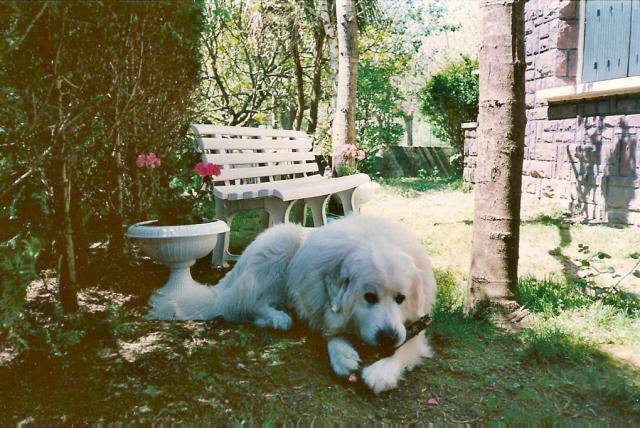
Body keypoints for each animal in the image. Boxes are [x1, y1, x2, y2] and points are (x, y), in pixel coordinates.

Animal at [174, 216, 440, 392]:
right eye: (369, 297)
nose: (387, 337)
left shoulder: (413, 327)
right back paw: (278, 318)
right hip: (280, 249)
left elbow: (404, 346)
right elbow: (331, 332)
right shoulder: (323, 308)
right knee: (248, 304)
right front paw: (343, 356)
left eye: (401, 298)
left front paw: (381, 371)